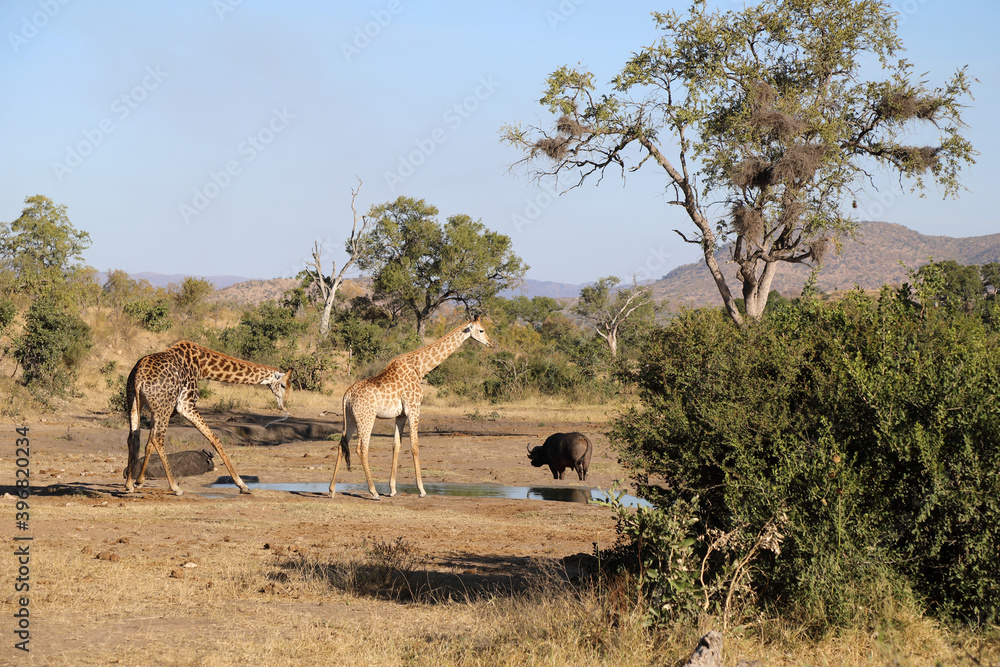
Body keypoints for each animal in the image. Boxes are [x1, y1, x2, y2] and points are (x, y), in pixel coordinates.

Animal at [122, 344, 292, 496]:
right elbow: (214, 439)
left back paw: (129, 484)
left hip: (135, 401)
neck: (202, 366)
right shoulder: (185, 405)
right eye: (283, 385)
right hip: (163, 405)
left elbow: (148, 443)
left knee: (133, 437)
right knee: (157, 438)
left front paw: (139, 481)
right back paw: (175, 487)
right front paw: (242, 485)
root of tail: (138, 378)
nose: (284, 406)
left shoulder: (163, 409)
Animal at [330, 318, 494, 500]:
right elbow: (415, 445)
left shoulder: (401, 414)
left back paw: (332, 490)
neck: (420, 368)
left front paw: (393, 489)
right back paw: (373, 492)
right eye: (481, 330)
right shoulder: (414, 407)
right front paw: (422, 490)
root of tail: (347, 395)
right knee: (361, 448)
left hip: (350, 418)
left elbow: (396, 445)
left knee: (341, 444)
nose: (490, 343)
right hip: (367, 417)